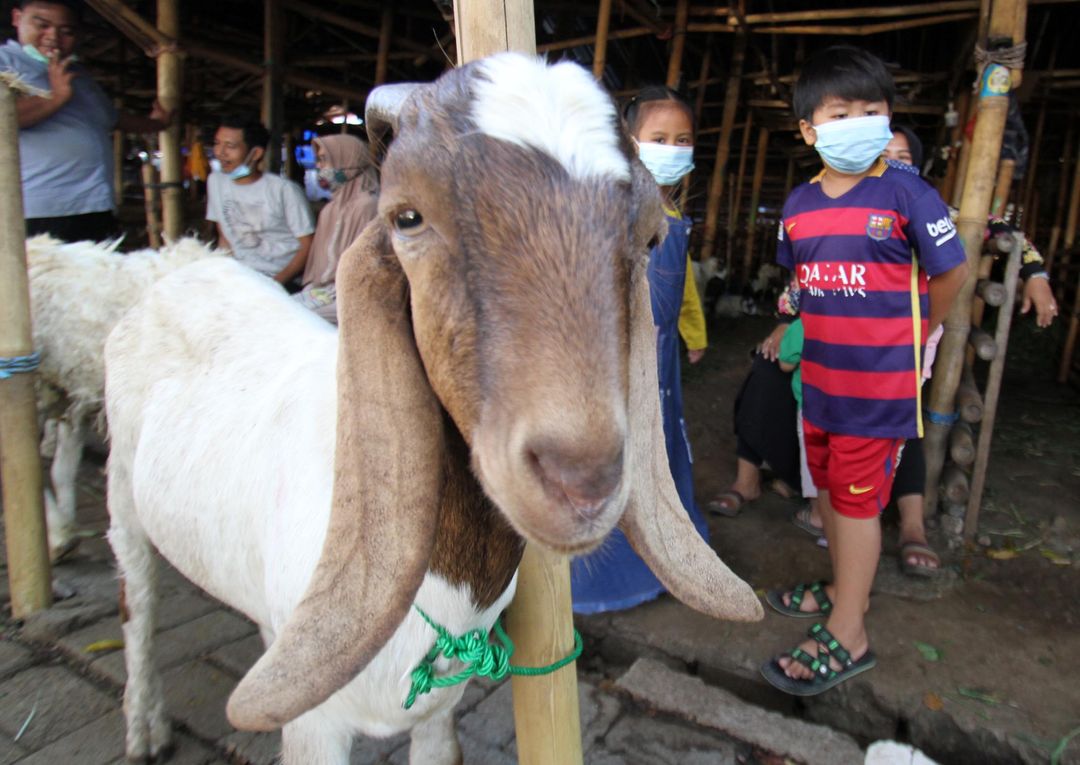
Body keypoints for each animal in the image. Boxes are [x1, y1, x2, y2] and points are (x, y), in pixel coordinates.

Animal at [101, 55, 760, 765]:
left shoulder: (441, 710)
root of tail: (177, 265)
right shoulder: (315, 728)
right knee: (135, 603)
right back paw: (143, 729)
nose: (580, 479)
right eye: (407, 217)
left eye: (651, 236)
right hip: (121, 495)